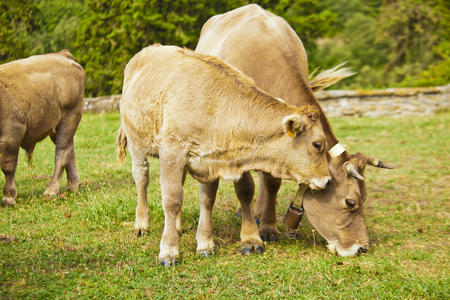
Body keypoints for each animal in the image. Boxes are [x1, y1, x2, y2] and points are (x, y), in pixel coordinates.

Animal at [0, 50, 85, 207]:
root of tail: (62, 55)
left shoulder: (12, 132)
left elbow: (8, 166)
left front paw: (8, 197)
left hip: (70, 117)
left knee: (62, 153)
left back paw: (51, 190)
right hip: (58, 127)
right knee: (70, 152)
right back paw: (73, 186)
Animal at [118, 44, 332, 264]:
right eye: (317, 144)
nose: (327, 180)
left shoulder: (209, 161)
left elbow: (207, 200)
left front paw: (205, 244)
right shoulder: (172, 152)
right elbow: (172, 199)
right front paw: (168, 251)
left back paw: (176, 226)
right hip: (136, 143)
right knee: (141, 178)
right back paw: (142, 224)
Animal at [195, 3, 392, 256]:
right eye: (351, 202)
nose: (361, 248)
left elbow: (272, 183)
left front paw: (269, 227)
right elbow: (245, 187)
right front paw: (250, 239)